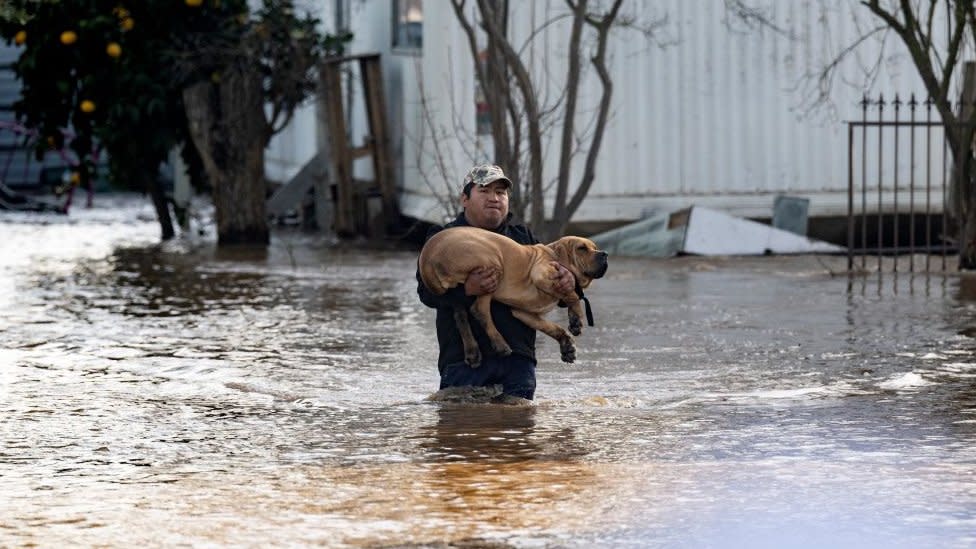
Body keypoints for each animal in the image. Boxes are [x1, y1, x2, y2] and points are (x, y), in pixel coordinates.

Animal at [420, 225, 608, 366]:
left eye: (595, 247)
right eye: (582, 248)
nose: (604, 254)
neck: (553, 253)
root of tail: (427, 255)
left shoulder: (524, 313)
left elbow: (552, 327)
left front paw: (567, 345)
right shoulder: (541, 273)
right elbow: (572, 294)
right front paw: (576, 319)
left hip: (458, 294)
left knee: (461, 317)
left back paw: (473, 352)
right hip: (492, 265)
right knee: (479, 310)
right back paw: (500, 345)